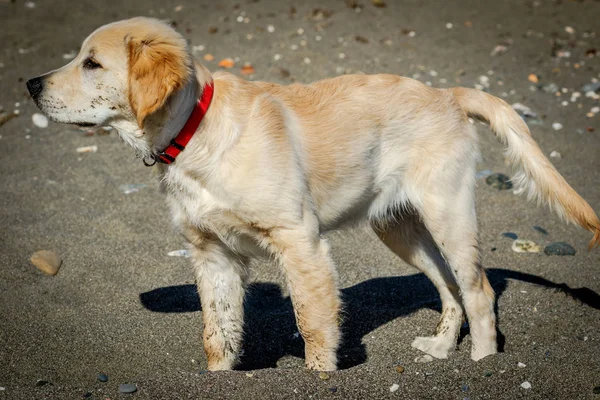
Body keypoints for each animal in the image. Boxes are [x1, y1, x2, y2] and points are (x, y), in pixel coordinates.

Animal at [28, 16, 600, 372]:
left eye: (92, 64)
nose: (31, 84)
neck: (196, 131)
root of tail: (445, 93)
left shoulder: (299, 241)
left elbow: (314, 325)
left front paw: (320, 376)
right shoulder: (212, 255)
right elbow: (218, 331)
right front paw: (219, 378)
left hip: (448, 212)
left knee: (478, 291)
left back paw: (482, 366)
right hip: (399, 227)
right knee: (450, 289)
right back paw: (441, 349)